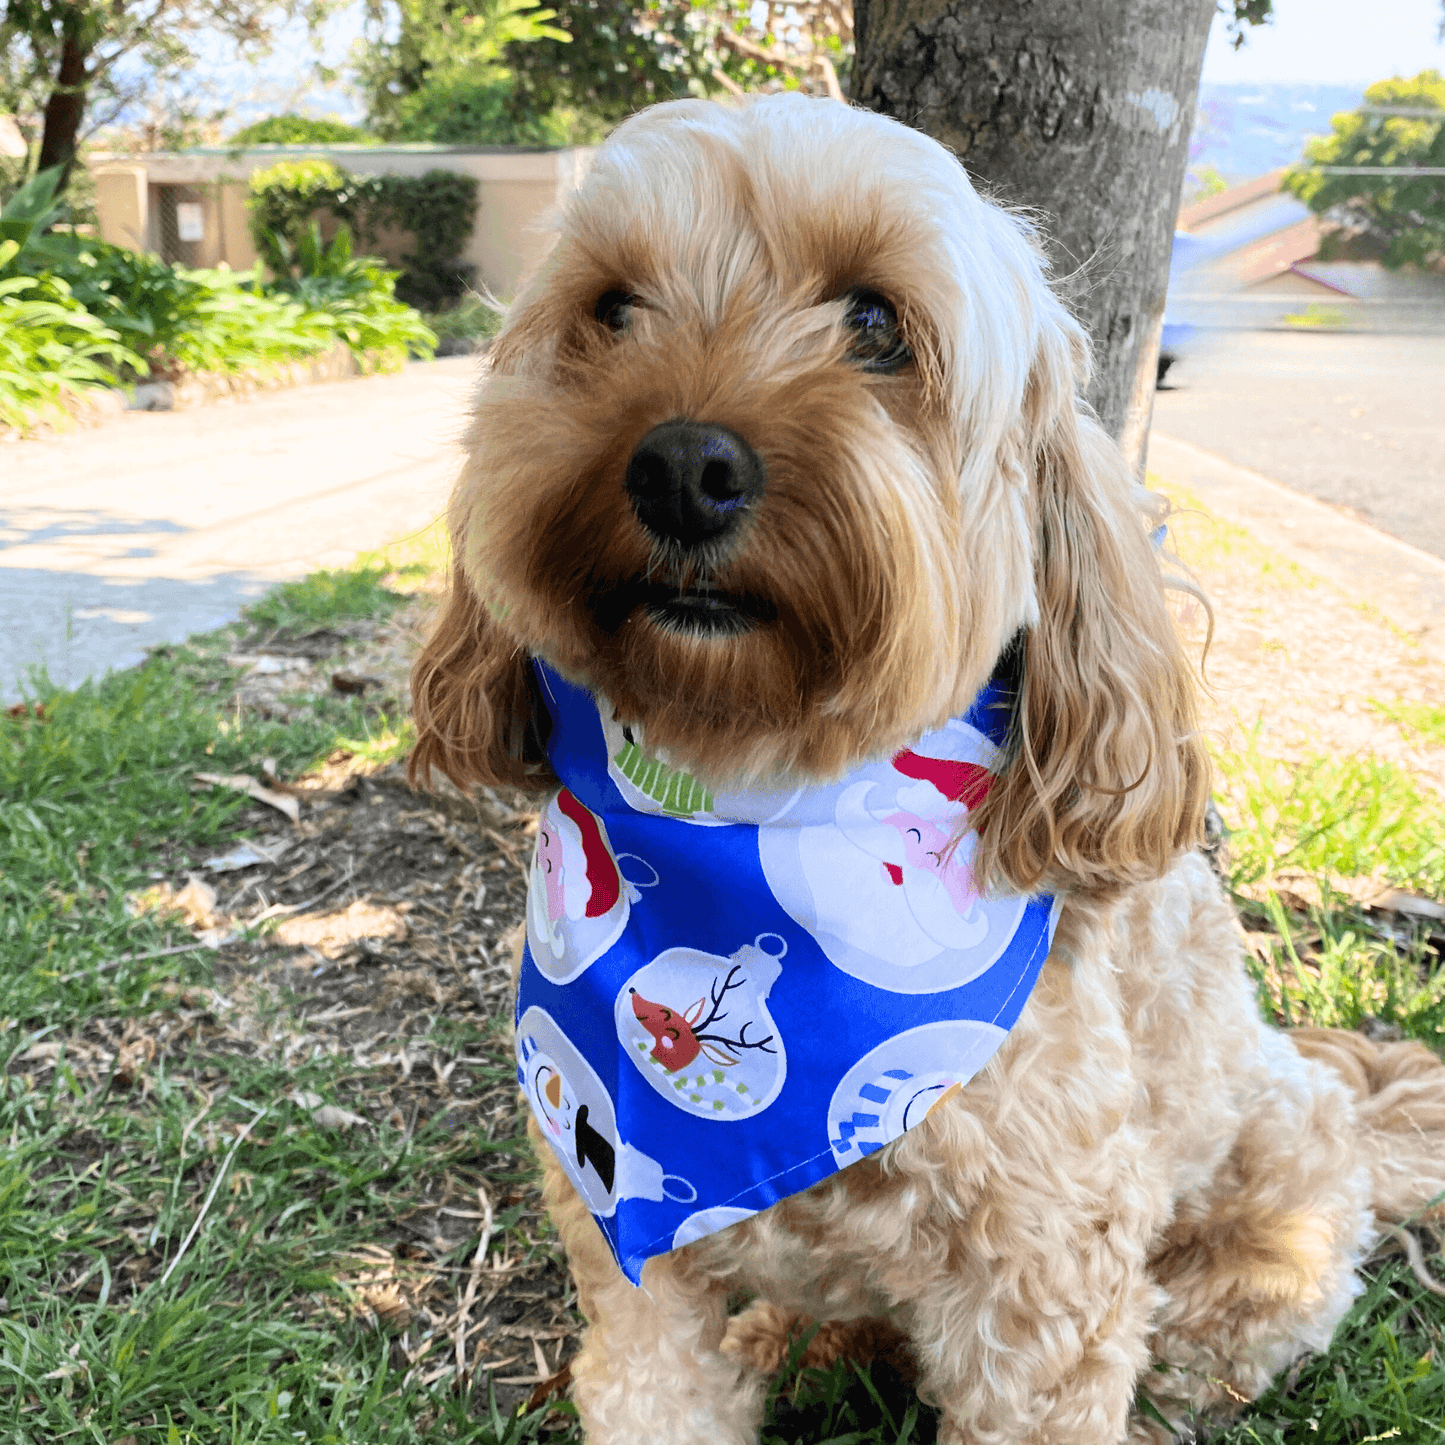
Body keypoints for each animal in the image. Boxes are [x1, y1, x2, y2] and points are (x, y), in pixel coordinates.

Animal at [407, 96, 1445, 1439]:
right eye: (612, 308)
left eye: (873, 323)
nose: (681, 465)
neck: (744, 802)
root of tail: (1354, 1118)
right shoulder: (623, 1246)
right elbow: (654, 1384)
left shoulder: (1042, 1289)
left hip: (1252, 1253)